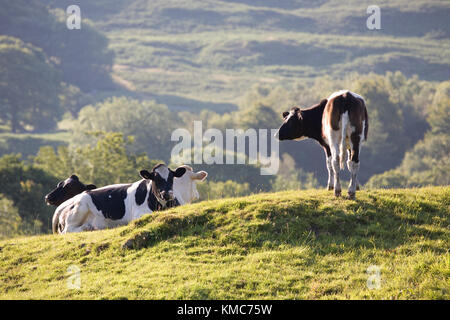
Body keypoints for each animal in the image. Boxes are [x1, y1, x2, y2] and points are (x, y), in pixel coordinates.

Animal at [52, 164, 188, 234]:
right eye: (155, 178)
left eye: (171, 178)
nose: (167, 194)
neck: (162, 205)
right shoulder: (138, 214)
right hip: (79, 209)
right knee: (67, 231)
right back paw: (88, 227)